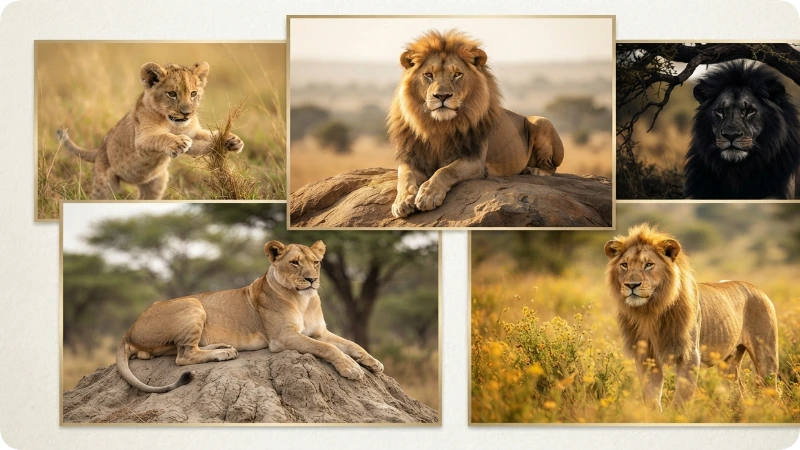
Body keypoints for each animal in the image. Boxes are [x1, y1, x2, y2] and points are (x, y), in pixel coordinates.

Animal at [57, 61, 244, 200]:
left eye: (193, 94)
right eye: (172, 94)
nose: (187, 112)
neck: (173, 124)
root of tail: (99, 149)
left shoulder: (193, 133)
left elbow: (207, 140)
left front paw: (231, 140)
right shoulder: (142, 140)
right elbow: (161, 137)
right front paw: (178, 142)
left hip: (157, 182)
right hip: (105, 185)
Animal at [116, 240, 384, 393]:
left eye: (316, 262)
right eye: (295, 263)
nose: (312, 279)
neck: (304, 300)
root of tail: (127, 332)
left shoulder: (319, 331)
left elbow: (351, 344)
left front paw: (373, 363)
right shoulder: (282, 337)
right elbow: (328, 348)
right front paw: (351, 368)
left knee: (185, 350)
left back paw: (222, 346)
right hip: (193, 303)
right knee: (184, 357)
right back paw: (224, 353)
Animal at [388, 30, 564, 218]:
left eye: (457, 74)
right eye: (428, 75)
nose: (442, 96)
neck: (439, 126)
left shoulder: (474, 160)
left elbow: (446, 171)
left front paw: (429, 194)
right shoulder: (412, 157)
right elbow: (405, 177)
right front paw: (402, 201)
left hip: (541, 121)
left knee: (551, 168)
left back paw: (534, 171)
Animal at [604, 223, 778, 410]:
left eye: (649, 264)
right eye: (624, 265)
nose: (631, 285)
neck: (650, 311)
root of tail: (756, 288)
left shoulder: (689, 354)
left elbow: (682, 396)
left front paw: (676, 415)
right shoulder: (646, 356)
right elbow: (651, 396)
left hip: (766, 356)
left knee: (772, 389)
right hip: (728, 362)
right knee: (738, 390)